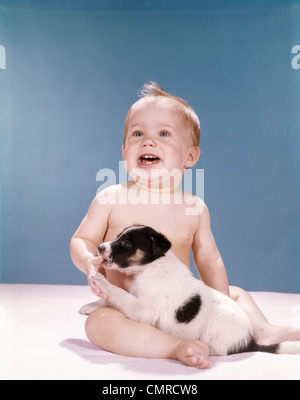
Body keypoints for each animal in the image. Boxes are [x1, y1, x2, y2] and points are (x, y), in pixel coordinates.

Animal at [79, 225, 300, 356]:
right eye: (117, 237)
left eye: (126, 243)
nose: (100, 248)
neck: (152, 265)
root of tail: (248, 341)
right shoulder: (136, 297)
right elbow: (114, 298)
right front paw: (90, 305)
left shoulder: (144, 309)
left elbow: (119, 294)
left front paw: (100, 281)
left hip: (216, 329)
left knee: (216, 350)